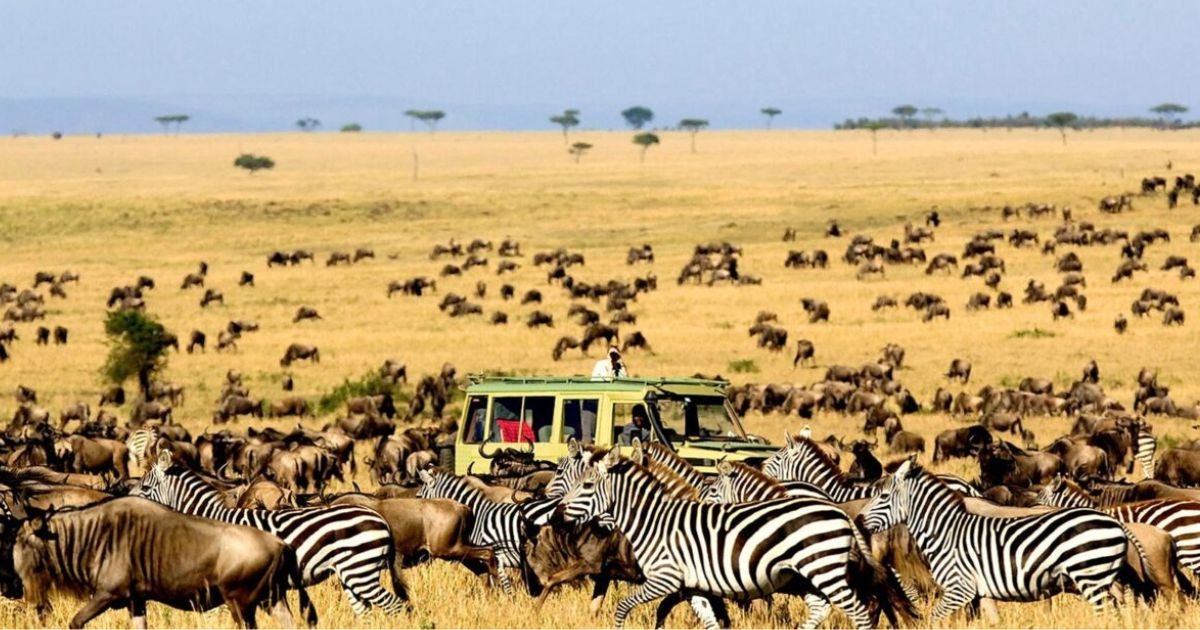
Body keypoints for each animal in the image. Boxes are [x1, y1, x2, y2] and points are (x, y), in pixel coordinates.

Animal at [556, 446, 888, 628]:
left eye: (587, 485)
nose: (557, 514)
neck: (652, 521)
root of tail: (839, 511)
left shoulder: (666, 579)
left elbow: (624, 607)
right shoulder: (693, 586)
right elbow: (711, 621)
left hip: (823, 569)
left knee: (859, 611)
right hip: (807, 575)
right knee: (822, 608)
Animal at [864, 456, 1123, 619]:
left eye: (883, 496)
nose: (859, 520)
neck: (946, 532)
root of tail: (1115, 523)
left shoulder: (959, 588)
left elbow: (936, 618)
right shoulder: (980, 591)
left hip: (1090, 577)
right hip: (1100, 579)